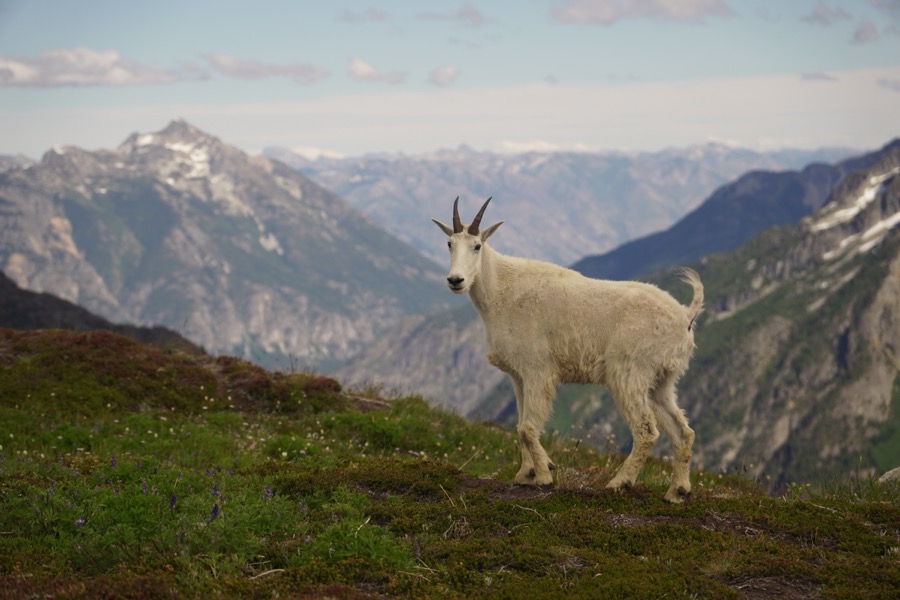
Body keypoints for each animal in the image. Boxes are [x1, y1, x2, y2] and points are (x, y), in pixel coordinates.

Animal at [432, 197, 703, 503]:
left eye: (477, 245)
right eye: (449, 243)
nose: (456, 280)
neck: (501, 291)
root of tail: (685, 316)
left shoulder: (537, 370)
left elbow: (527, 428)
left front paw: (544, 476)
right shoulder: (518, 376)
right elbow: (520, 424)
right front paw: (526, 474)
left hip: (630, 373)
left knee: (647, 431)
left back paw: (619, 482)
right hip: (662, 380)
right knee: (683, 431)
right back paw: (677, 490)